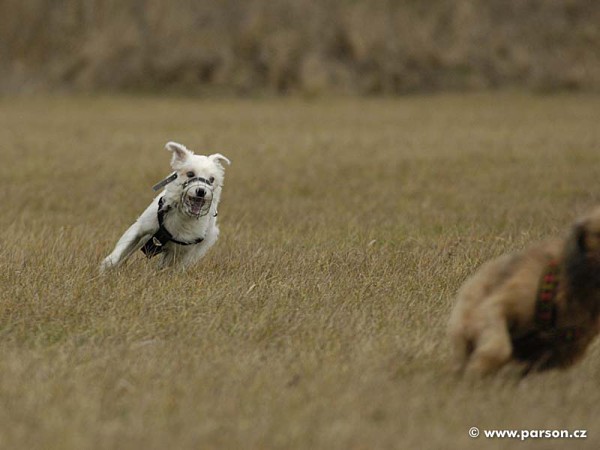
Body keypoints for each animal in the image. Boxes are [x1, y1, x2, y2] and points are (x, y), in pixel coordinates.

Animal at [99, 142, 231, 272]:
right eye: (190, 174)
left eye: (212, 179)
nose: (201, 191)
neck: (182, 214)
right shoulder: (139, 228)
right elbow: (121, 249)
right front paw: (106, 266)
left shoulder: (181, 251)